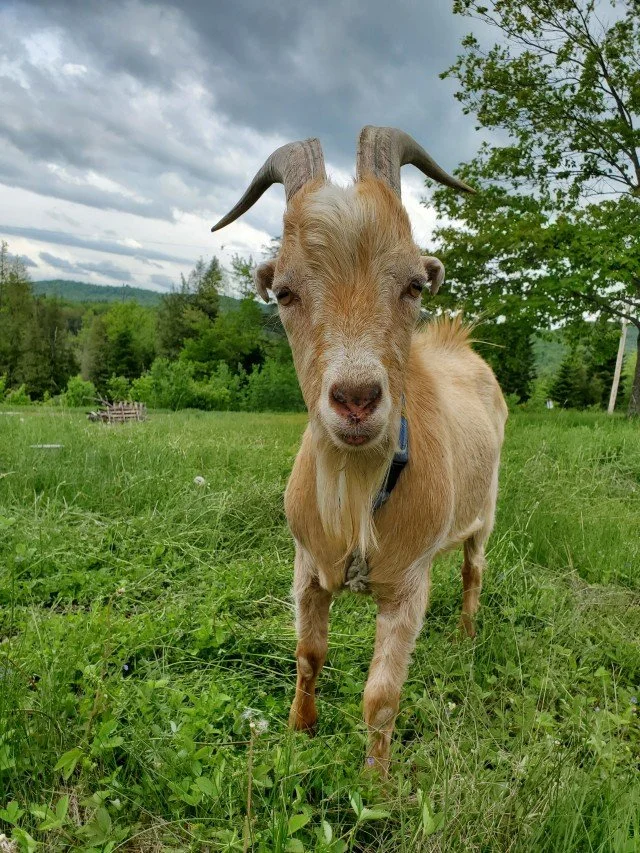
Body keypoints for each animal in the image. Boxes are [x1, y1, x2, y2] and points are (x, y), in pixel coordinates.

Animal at [211, 127, 508, 773]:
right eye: (285, 292)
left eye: (413, 285)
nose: (355, 399)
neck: (359, 492)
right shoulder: (306, 565)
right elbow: (308, 654)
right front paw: (299, 732)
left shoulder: (408, 587)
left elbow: (382, 696)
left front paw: (377, 782)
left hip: (486, 511)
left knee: (473, 569)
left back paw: (466, 635)